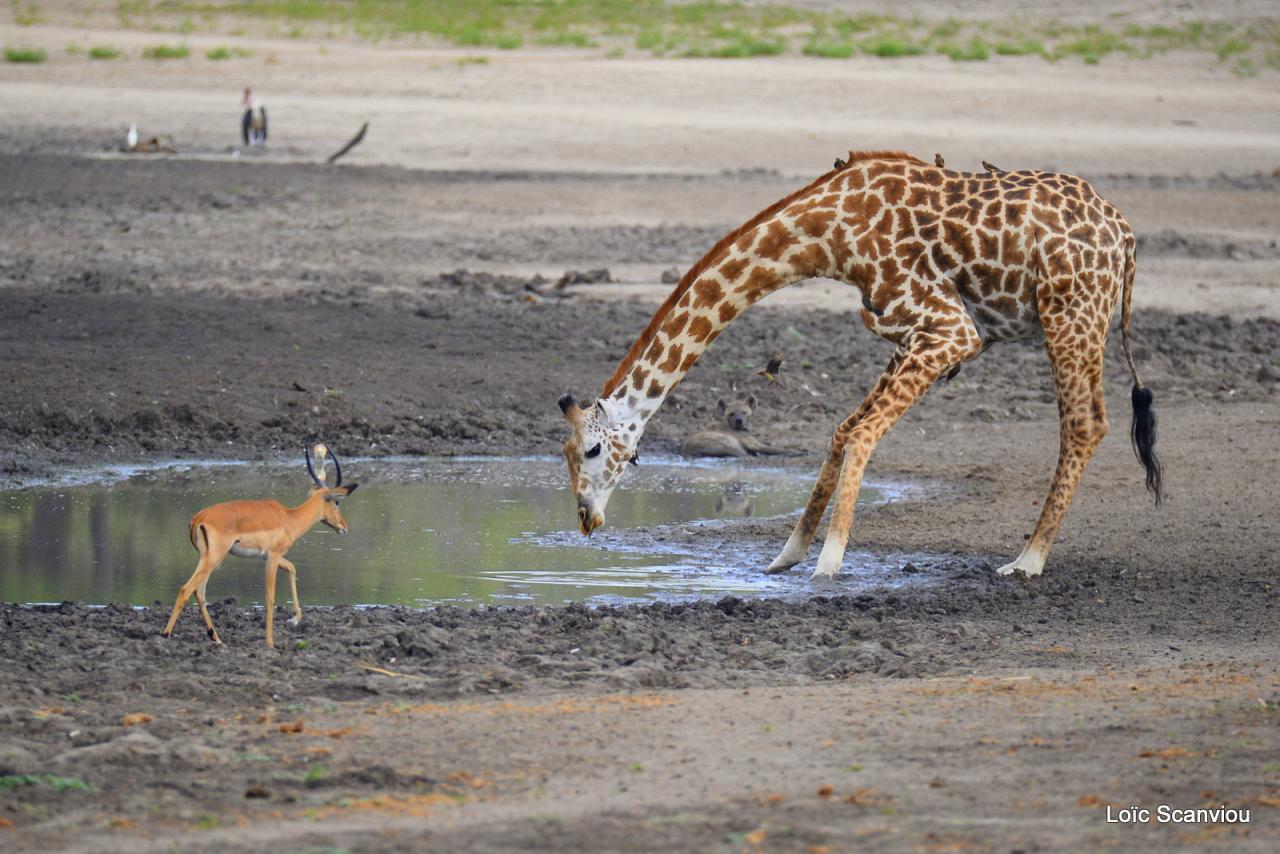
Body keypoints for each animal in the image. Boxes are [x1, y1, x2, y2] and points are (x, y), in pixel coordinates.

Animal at [558, 151, 1162, 581]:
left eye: (592, 450)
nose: (585, 518)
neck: (828, 235)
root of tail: (1126, 235)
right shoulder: (910, 332)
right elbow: (843, 429)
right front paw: (787, 554)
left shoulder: (951, 329)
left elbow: (864, 433)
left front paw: (828, 563)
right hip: (1077, 319)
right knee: (1094, 422)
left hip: (1070, 314)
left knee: (1084, 424)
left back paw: (1027, 560)